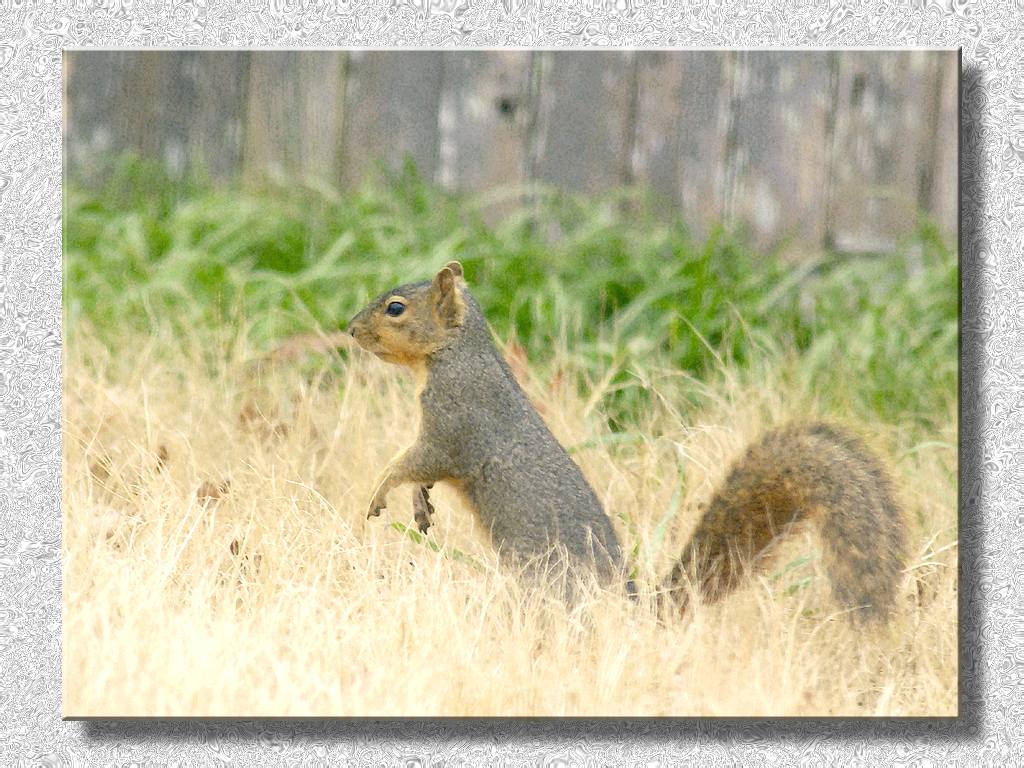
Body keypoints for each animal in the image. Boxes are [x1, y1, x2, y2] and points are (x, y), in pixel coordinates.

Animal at [348, 264, 909, 618]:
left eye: (395, 308)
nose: (350, 329)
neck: (455, 354)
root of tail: (631, 605)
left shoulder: (453, 420)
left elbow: (417, 459)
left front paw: (378, 490)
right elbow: (422, 474)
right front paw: (419, 504)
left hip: (545, 584)